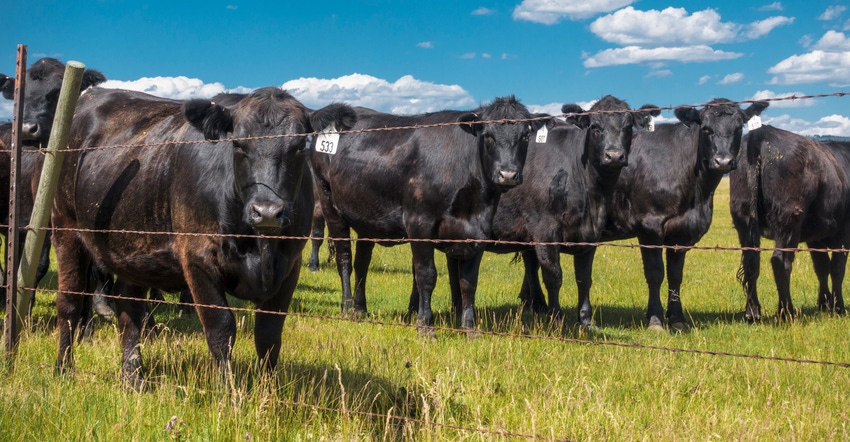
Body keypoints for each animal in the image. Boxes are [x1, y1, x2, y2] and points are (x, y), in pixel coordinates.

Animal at [50, 87, 354, 386]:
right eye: (238, 144)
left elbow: (269, 335)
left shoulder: (290, 264)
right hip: (65, 228)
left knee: (130, 310)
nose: (267, 212)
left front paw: (268, 391)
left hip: (132, 249)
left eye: (300, 147)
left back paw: (132, 378)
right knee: (70, 302)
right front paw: (226, 392)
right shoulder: (197, 259)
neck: (260, 248)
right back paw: (63, 370)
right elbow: (221, 328)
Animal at [310, 96, 544, 332]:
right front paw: (425, 325)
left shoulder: (479, 230)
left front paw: (469, 328)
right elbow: (426, 275)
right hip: (330, 205)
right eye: (488, 135)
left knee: (362, 262)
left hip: (367, 218)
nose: (508, 174)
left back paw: (360, 309)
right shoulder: (419, 224)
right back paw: (347, 307)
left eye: (525, 136)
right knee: (344, 259)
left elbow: (468, 282)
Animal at [520, 98, 772, 330]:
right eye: (707, 129)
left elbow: (675, 275)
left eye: (739, 129)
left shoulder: (680, 231)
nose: (723, 161)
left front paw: (677, 319)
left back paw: (532, 302)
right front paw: (656, 320)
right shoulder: (650, 226)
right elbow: (655, 273)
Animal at [728, 125, 848, 322]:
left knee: (751, 262)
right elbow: (836, 268)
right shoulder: (842, 233)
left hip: (743, 218)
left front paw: (824, 303)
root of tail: (760, 133)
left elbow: (821, 267)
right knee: (780, 261)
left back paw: (753, 312)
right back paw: (786, 312)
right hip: (788, 219)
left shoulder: (816, 238)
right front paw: (838, 308)